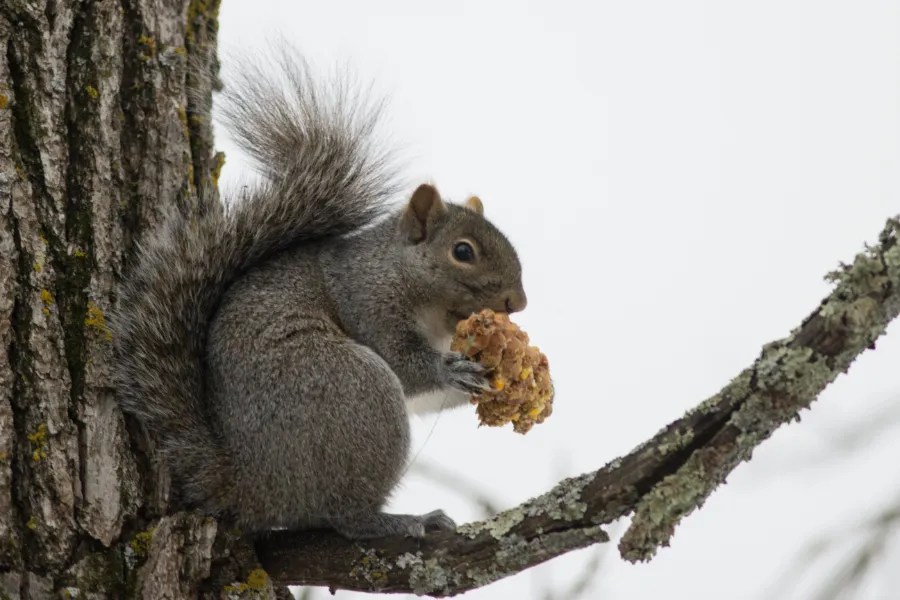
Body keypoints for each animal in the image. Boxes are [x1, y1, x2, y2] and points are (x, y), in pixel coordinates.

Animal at [113, 52, 527, 540]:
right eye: (462, 251)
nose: (518, 303)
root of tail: (253, 488)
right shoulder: (367, 302)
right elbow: (406, 365)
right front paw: (451, 368)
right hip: (352, 389)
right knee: (345, 517)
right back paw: (401, 520)